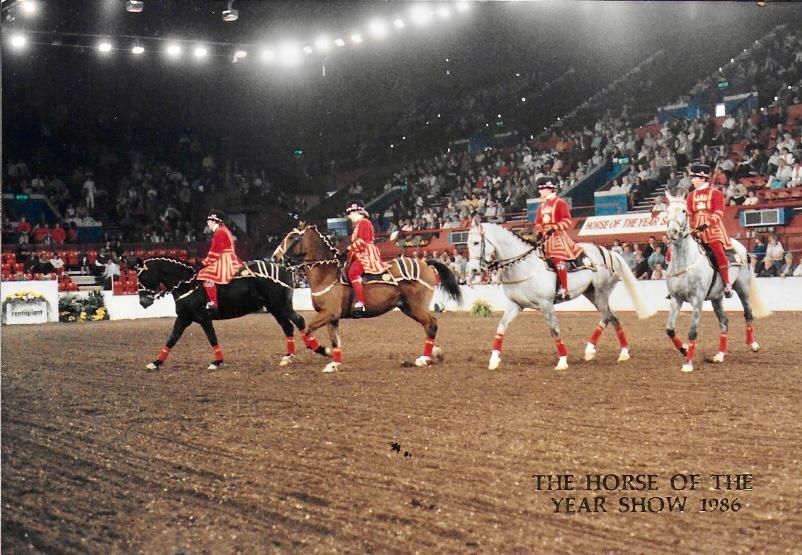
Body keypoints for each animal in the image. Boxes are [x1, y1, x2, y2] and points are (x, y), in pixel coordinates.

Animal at [136, 258, 304, 372]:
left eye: (142, 277)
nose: (143, 302)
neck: (188, 285)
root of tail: (285, 269)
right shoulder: (184, 318)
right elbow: (171, 339)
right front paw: (156, 362)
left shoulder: (204, 318)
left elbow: (212, 338)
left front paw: (217, 362)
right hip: (274, 308)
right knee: (288, 327)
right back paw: (288, 356)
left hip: (281, 306)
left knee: (298, 321)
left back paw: (306, 347)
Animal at [274, 226, 460, 374]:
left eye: (291, 237)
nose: (275, 257)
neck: (327, 273)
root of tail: (425, 264)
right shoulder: (332, 318)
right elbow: (335, 341)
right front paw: (334, 363)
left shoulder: (328, 313)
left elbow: (308, 332)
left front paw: (324, 350)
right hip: (408, 307)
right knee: (429, 325)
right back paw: (433, 353)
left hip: (417, 307)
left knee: (431, 324)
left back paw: (424, 358)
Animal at [466, 220, 652, 370]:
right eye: (467, 244)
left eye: (476, 242)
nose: (473, 270)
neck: (524, 266)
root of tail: (609, 253)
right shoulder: (515, 304)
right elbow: (501, 327)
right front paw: (494, 359)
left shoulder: (546, 304)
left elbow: (554, 329)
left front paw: (562, 360)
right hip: (592, 294)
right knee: (613, 316)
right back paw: (623, 352)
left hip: (601, 292)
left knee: (606, 316)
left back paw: (590, 350)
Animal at [660, 192, 764, 374]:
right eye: (667, 210)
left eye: (683, 211)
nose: (672, 232)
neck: (685, 261)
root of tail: (740, 247)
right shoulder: (675, 299)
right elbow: (670, 329)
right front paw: (684, 349)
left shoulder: (697, 300)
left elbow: (692, 332)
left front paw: (688, 363)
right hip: (716, 298)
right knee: (724, 322)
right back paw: (719, 355)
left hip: (742, 288)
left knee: (748, 313)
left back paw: (753, 344)